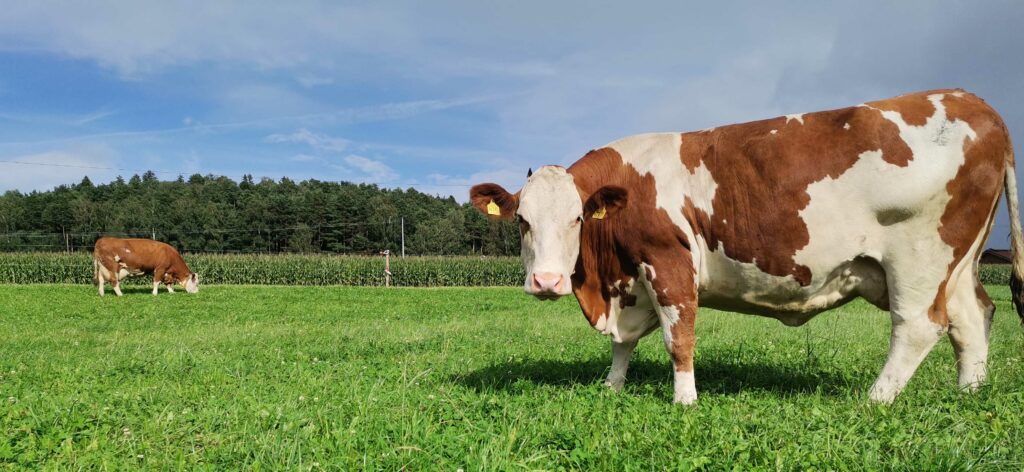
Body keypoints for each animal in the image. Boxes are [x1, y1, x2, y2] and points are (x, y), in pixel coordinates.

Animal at [471, 89, 1024, 405]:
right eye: (521, 220)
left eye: (577, 219)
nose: (547, 281)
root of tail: (972, 100)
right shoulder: (633, 281)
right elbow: (623, 343)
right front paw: (612, 387)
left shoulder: (668, 262)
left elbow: (679, 339)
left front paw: (685, 401)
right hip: (960, 263)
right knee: (973, 318)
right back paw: (969, 394)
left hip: (919, 258)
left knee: (918, 327)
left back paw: (876, 399)